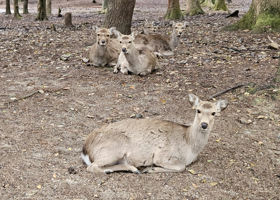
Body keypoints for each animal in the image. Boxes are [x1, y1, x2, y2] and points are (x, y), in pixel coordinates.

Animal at [81, 94, 228, 173]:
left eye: (214, 113)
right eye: (198, 110)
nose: (204, 124)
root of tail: (85, 150)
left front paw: (149, 169)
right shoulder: (162, 155)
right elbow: (181, 167)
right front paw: (151, 169)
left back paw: (134, 169)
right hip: (115, 147)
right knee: (92, 167)